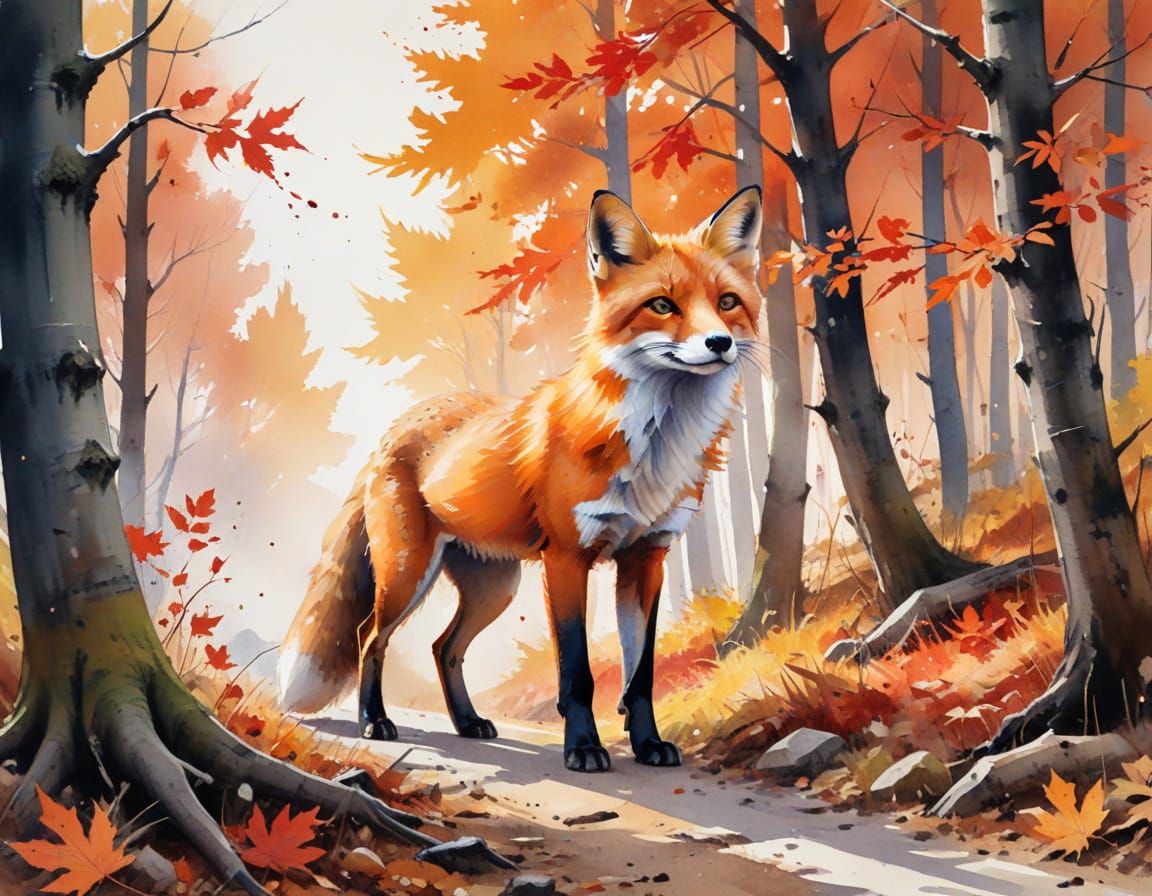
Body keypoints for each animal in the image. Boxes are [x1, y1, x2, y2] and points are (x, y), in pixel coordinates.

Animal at [277, 186, 765, 772]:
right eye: (663, 305)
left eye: (727, 302)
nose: (719, 342)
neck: (655, 444)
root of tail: (398, 424)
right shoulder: (567, 559)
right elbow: (577, 674)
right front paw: (583, 749)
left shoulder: (646, 558)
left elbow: (640, 675)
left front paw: (648, 745)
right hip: (407, 575)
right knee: (369, 638)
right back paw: (375, 721)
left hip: (495, 589)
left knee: (444, 647)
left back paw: (467, 723)